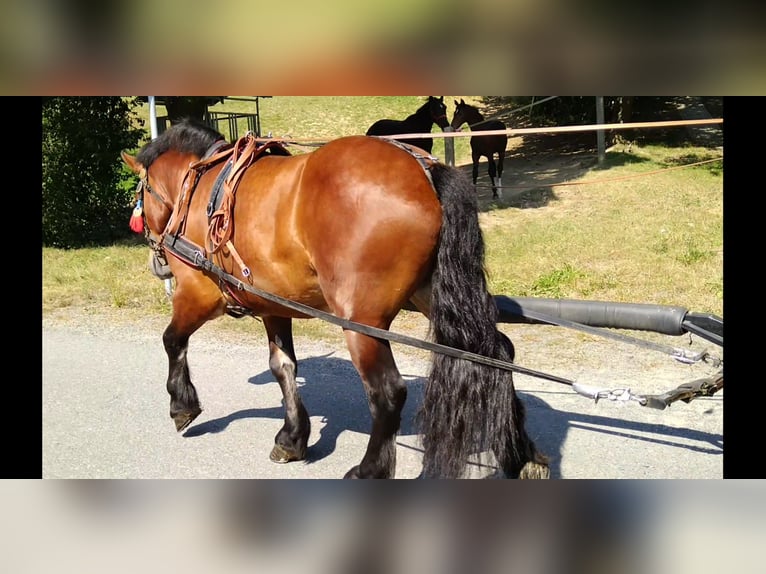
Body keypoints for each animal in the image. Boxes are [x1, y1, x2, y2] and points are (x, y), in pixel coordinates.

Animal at [123, 119, 548, 480]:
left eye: (141, 191)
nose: (155, 258)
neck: (199, 186)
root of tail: (423, 170)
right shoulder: (275, 305)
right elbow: (283, 368)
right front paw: (292, 438)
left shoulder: (198, 295)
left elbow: (172, 340)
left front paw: (182, 405)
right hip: (433, 296)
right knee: (495, 353)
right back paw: (521, 453)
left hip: (361, 322)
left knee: (388, 392)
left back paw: (369, 470)